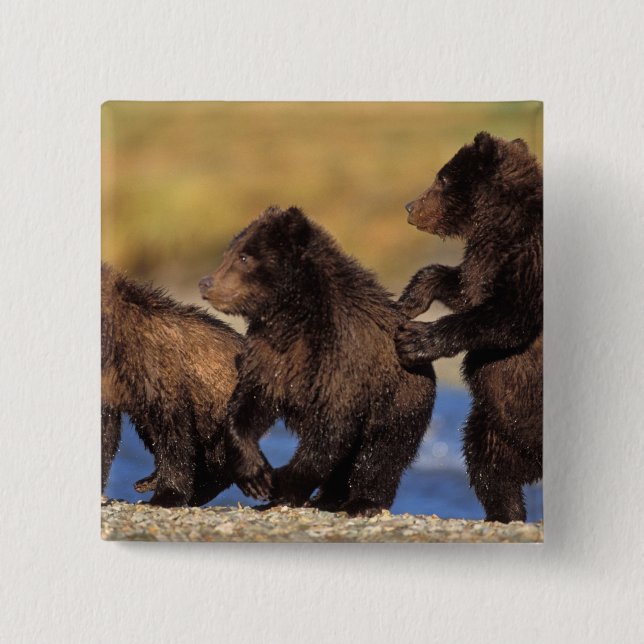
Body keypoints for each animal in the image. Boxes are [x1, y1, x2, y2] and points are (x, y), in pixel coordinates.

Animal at [198, 206, 436, 517]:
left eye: (244, 257)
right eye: (229, 253)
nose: (206, 282)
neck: (292, 315)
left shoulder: (340, 360)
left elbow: (330, 430)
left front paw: (280, 485)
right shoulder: (271, 356)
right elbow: (250, 403)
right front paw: (256, 475)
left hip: (399, 400)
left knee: (381, 451)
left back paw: (363, 501)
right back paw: (328, 497)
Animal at [395, 132, 543, 523]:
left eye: (442, 178)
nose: (410, 206)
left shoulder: (529, 259)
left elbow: (506, 317)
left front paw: (416, 340)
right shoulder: (485, 260)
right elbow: (464, 288)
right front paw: (410, 299)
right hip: (496, 424)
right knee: (487, 464)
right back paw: (505, 512)